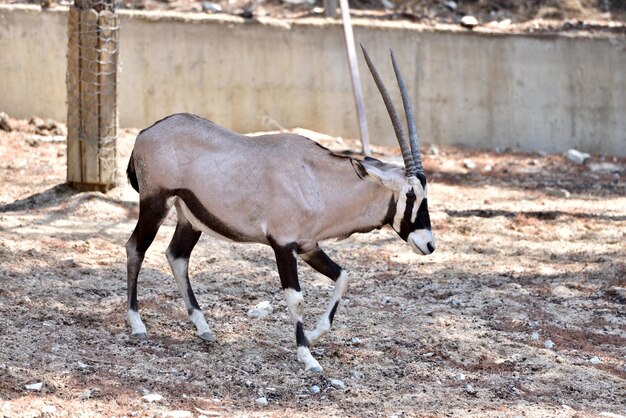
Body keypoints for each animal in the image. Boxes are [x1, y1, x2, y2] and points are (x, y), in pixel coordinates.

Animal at [122, 46, 434, 372]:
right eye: (410, 193)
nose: (429, 244)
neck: (317, 180)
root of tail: (145, 132)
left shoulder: (308, 246)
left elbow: (344, 277)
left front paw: (313, 336)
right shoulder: (283, 246)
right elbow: (296, 298)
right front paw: (306, 356)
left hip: (190, 218)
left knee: (177, 256)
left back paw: (203, 327)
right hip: (155, 203)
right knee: (136, 248)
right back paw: (137, 324)